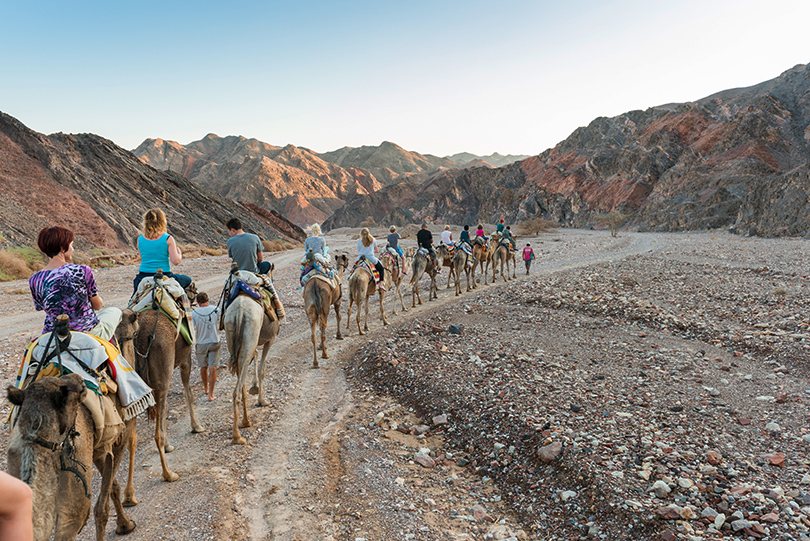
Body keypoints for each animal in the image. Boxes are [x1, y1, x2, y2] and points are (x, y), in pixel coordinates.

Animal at [124, 304, 205, 480]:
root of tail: (141, 337)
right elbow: (189, 394)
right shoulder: (185, 359)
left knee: (131, 438)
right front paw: (197, 426)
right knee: (157, 435)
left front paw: (169, 445)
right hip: (163, 373)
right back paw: (168, 474)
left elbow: (165, 408)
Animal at [223, 266, 280, 442]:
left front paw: (254, 387)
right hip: (252, 329)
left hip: (234, 338)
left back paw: (245, 422)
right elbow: (262, 369)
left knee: (240, 379)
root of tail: (240, 311)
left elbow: (255, 357)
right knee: (236, 391)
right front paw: (262, 400)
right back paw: (237, 436)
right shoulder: (270, 339)